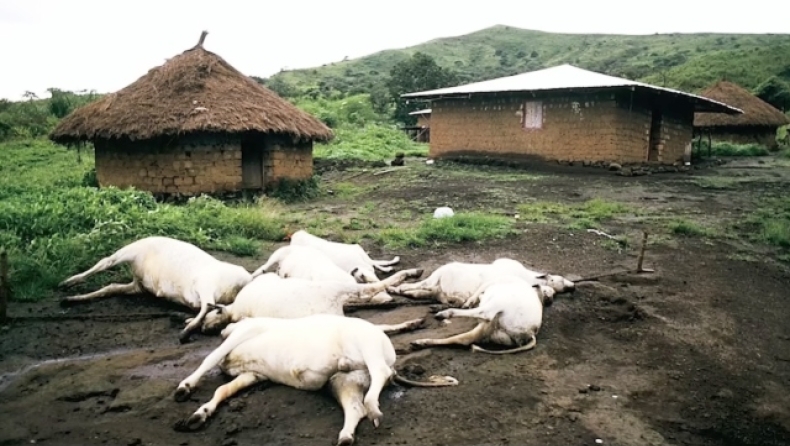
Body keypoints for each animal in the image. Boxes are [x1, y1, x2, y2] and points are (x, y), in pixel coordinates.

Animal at [173, 314, 458, 446]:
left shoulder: (245, 333)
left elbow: (209, 359)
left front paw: (184, 388)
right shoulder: (253, 374)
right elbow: (223, 389)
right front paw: (200, 414)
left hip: (367, 344)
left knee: (380, 372)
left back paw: (374, 408)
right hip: (343, 380)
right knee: (355, 408)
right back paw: (346, 436)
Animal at [390, 258, 576, 306]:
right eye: (558, 279)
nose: (573, 287)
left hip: (439, 287)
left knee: (424, 291)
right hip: (441, 281)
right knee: (424, 288)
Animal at [412, 278, 548, 356]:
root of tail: (531, 332)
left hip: (497, 305)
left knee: (484, 314)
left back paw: (443, 313)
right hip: (486, 329)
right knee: (463, 339)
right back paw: (420, 342)